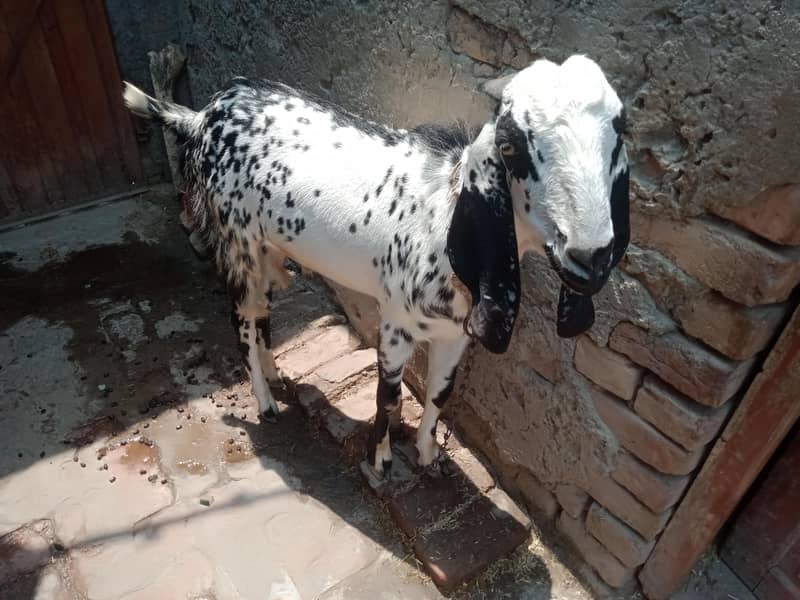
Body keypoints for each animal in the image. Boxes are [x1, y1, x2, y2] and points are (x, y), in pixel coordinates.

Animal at [122, 54, 628, 476]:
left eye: (618, 136)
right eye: (510, 145)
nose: (590, 255)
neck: (443, 214)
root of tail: (201, 116)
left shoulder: (455, 334)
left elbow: (439, 393)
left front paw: (427, 454)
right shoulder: (396, 326)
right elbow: (388, 397)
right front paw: (381, 460)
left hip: (267, 248)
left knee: (263, 313)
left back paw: (274, 374)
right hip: (236, 241)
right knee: (243, 318)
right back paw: (265, 404)